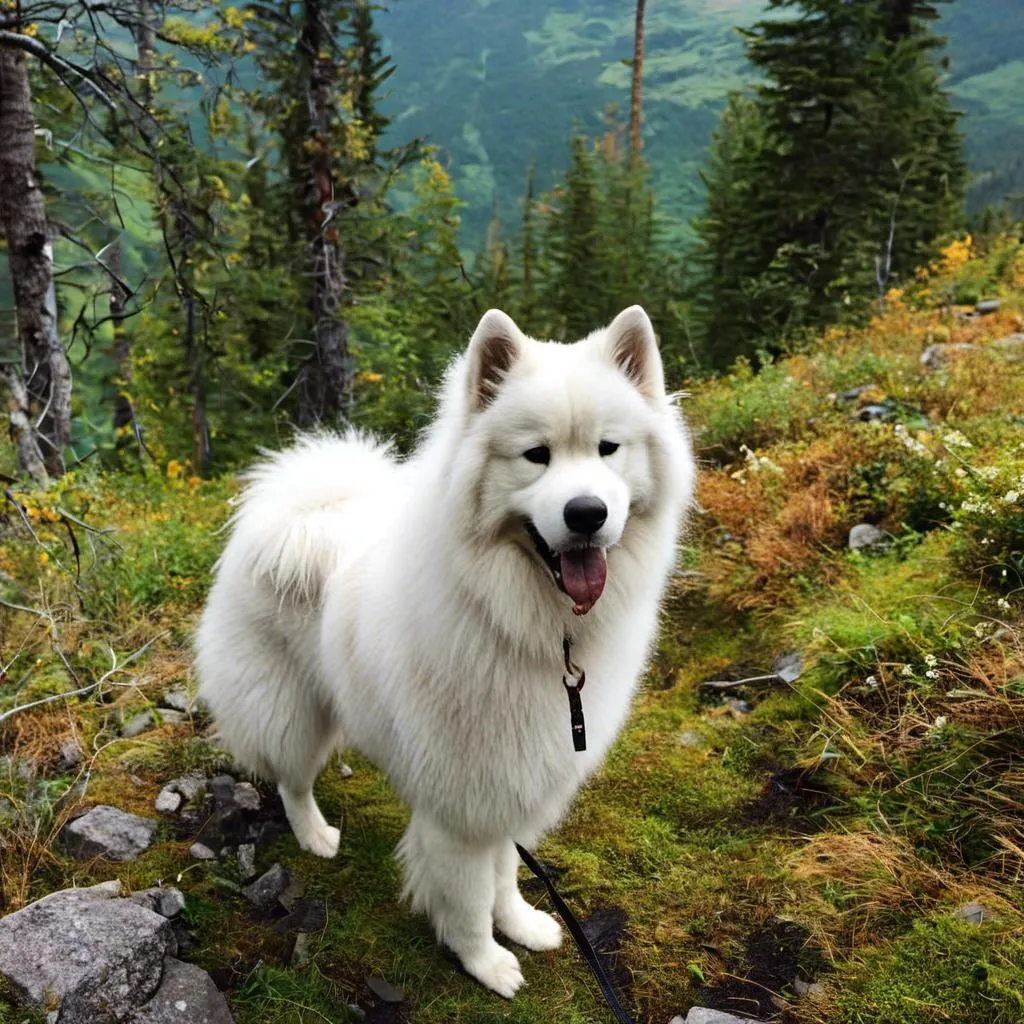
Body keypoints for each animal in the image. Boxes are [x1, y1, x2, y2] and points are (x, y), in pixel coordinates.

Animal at [193, 307, 696, 995]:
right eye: (536, 456)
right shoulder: (460, 801)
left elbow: (506, 871)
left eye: (607, 449)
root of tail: (294, 513)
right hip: (290, 709)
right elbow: (467, 896)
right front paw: (484, 962)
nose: (587, 513)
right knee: (292, 780)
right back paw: (316, 835)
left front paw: (522, 925)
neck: (518, 620)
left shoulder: (510, 777)